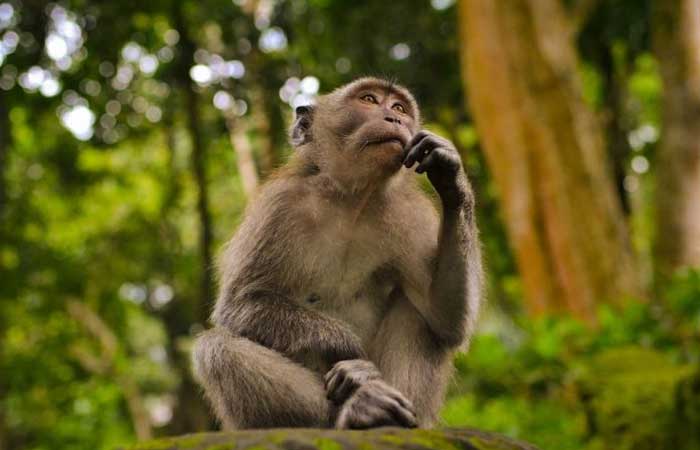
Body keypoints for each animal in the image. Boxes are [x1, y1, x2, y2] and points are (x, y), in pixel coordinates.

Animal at [194, 76, 484, 428]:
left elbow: (446, 318)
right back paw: (357, 408)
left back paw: (396, 416)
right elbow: (240, 303)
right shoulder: (279, 206)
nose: (395, 119)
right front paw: (351, 352)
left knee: (418, 313)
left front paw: (450, 173)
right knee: (215, 347)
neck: (352, 200)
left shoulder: (410, 215)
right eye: (369, 100)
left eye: (400, 107)